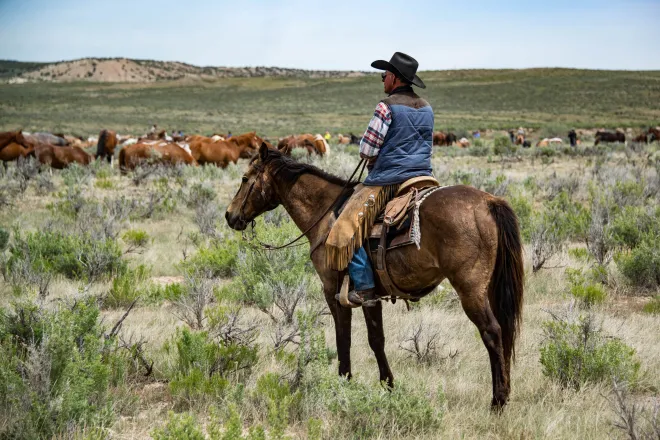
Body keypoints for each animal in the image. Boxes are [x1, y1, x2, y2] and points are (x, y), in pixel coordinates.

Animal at [227, 144, 524, 410]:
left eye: (244, 178)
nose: (230, 216)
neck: (326, 214)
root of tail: (489, 201)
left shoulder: (333, 291)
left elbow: (344, 338)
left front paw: (344, 383)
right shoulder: (370, 296)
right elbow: (376, 339)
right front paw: (388, 385)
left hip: (470, 290)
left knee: (492, 332)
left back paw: (498, 401)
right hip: (490, 288)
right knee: (505, 330)